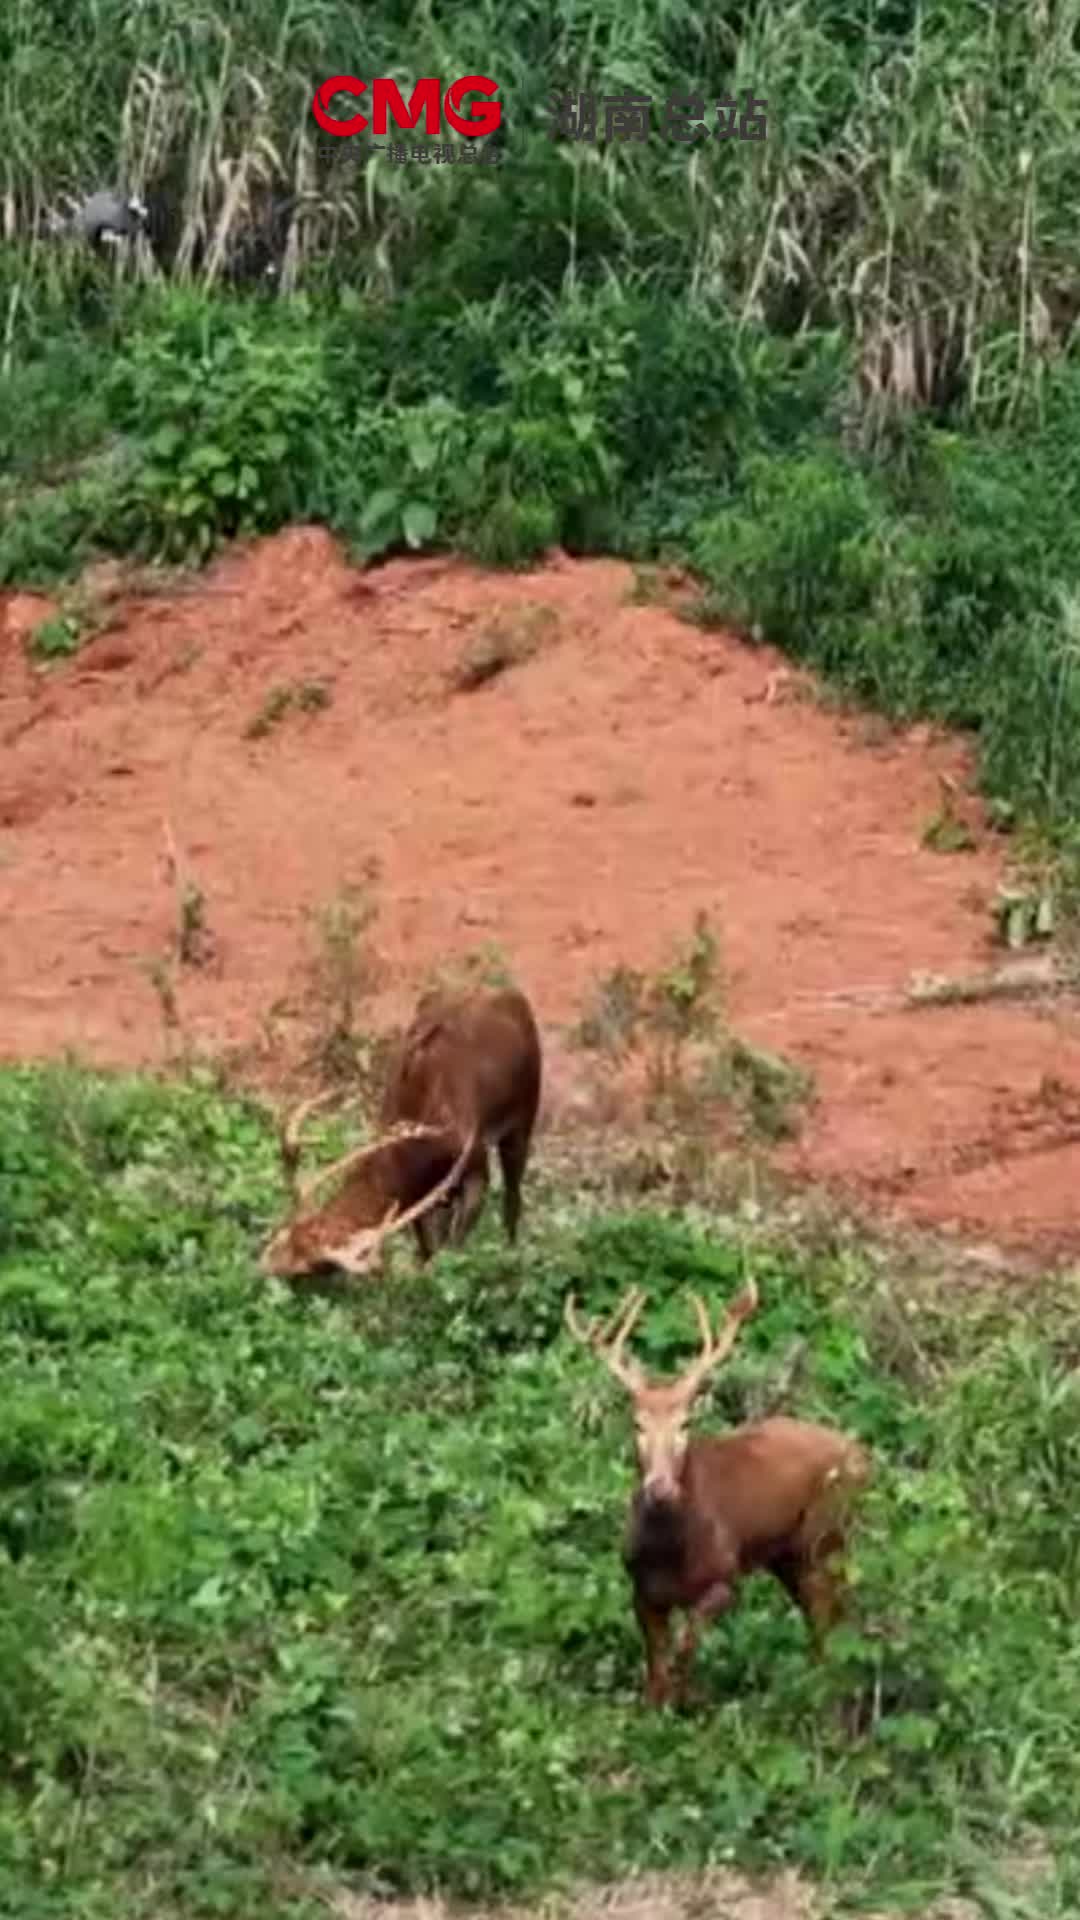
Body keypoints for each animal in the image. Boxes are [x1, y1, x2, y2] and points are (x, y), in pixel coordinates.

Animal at [260, 983, 542, 1285]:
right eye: (288, 1232)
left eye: (314, 1269)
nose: (264, 1263)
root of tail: (509, 993)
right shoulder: (416, 1193)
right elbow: (429, 1247)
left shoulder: (475, 1165)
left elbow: (453, 1247)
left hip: (523, 1117)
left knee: (513, 1200)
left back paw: (512, 1258)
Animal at [564, 1278, 871, 1708]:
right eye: (638, 1423)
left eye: (685, 1422)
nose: (660, 1488)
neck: (671, 1551)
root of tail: (864, 1455)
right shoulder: (641, 1590)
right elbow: (656, 1671)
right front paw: (662, 1707)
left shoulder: (725, 1579)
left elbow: (686, 1646)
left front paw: (689, 1699)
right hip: (788, 1557)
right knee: (827, 1622)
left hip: (826, 1537)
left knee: (833, 1620)